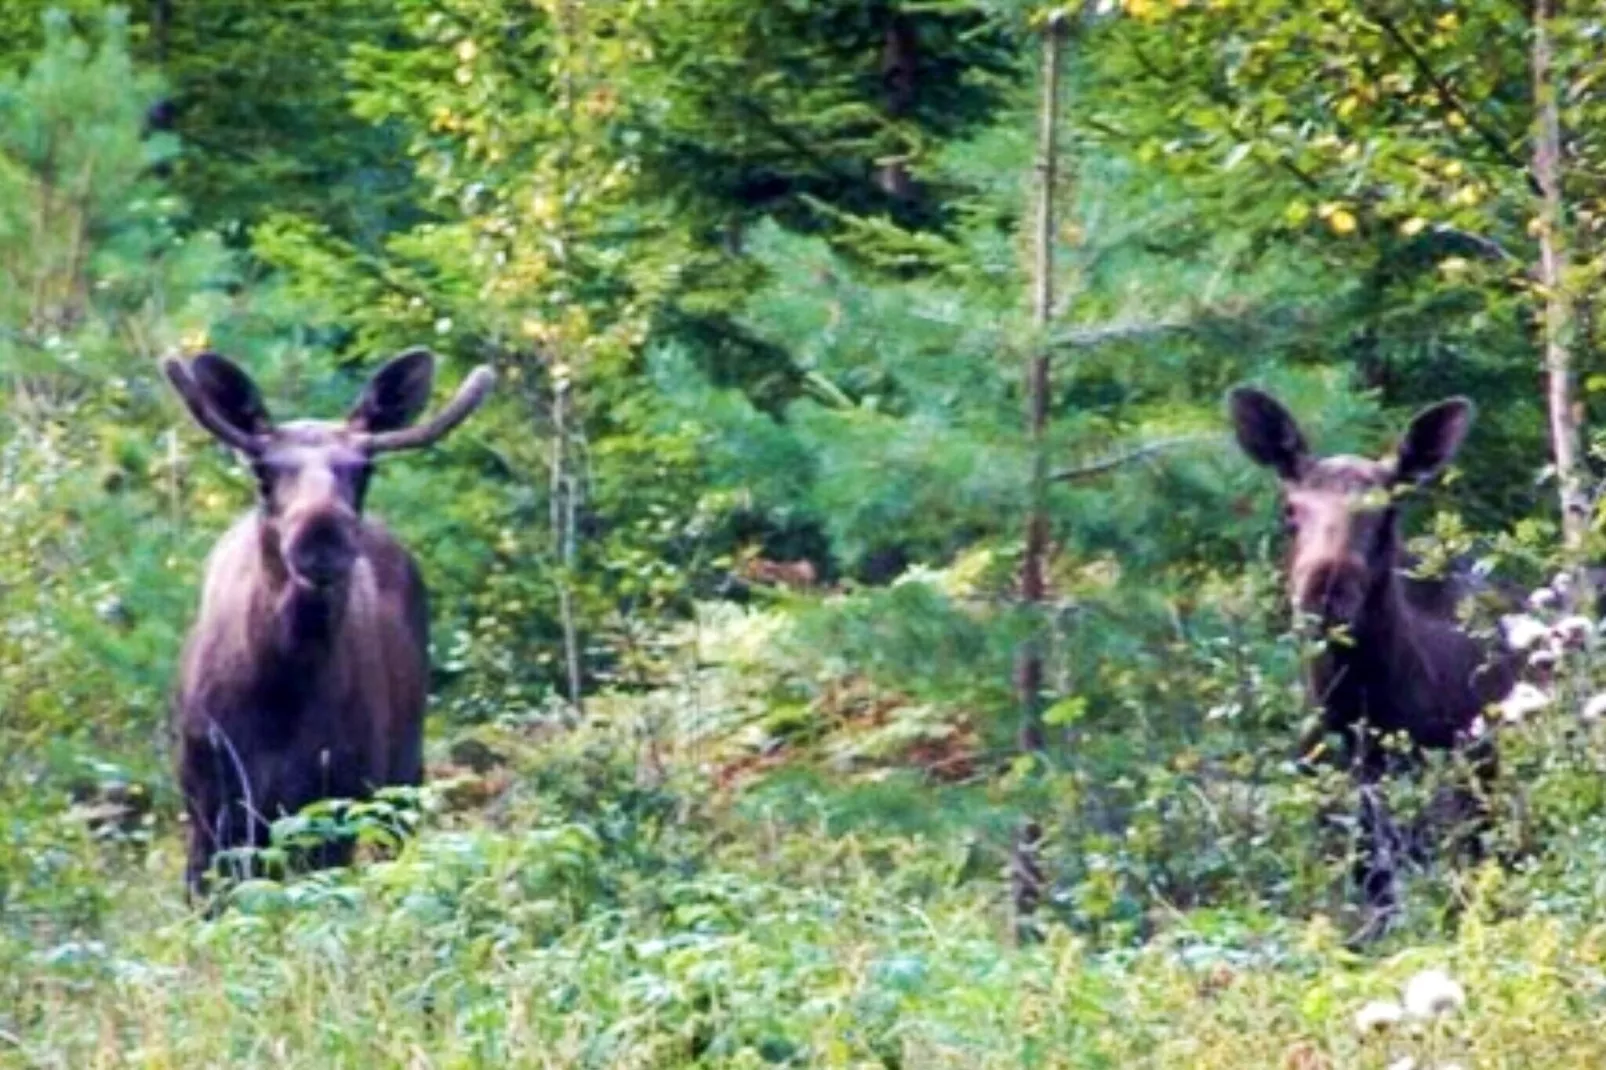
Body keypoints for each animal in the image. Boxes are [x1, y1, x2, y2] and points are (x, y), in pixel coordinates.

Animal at [163, 345, 491, 893]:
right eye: (262, 472)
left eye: (364, 470)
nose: (321, 536)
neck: (281, 691)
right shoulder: (208, 805)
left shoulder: (336, 801)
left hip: (402, 776)